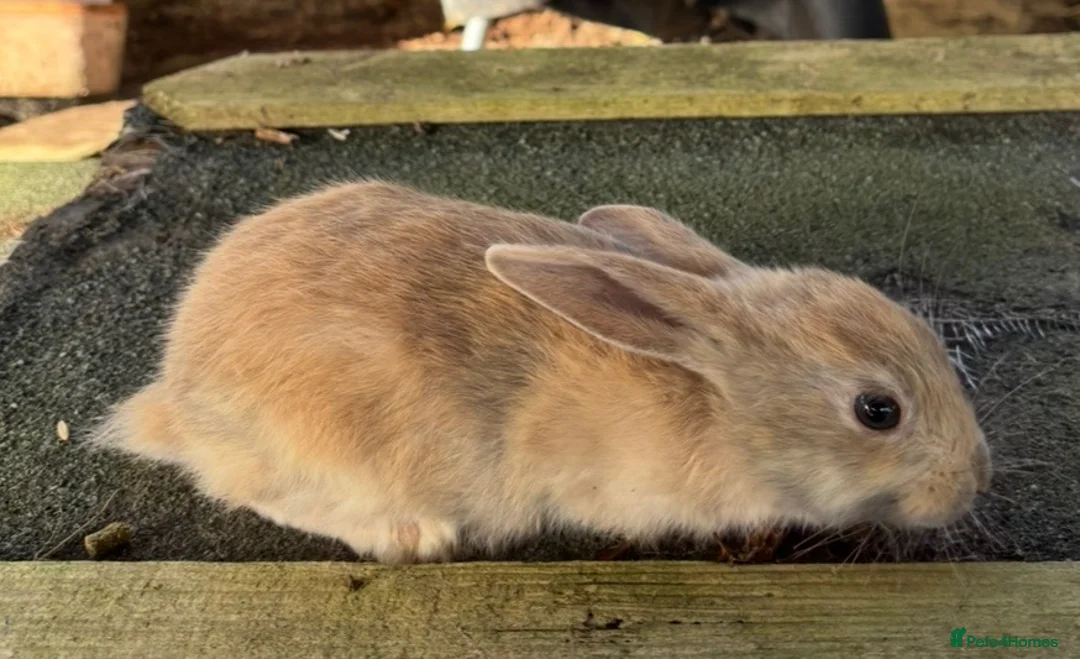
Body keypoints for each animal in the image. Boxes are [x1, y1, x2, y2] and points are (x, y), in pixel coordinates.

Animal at [91, 180, 992, 564]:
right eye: (878, 410)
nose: (973, 480)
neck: (715, 399)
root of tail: (176, 395)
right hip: (329, 439)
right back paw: (412, 535)